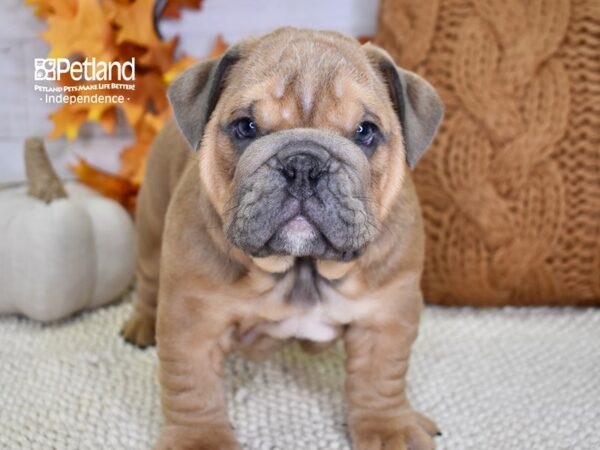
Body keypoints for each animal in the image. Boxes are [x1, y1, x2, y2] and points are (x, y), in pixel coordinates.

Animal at [122, 28, 442, 450]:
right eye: (246, 127)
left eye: (365, 132)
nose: (303, 163)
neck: (301, 269)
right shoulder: (192, 320)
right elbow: (193, 387)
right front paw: (200, 440)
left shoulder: (385, 316)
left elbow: (380, 378)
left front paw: (388, 428)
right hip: (150, 222)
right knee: (146, 280)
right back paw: (141, 324)